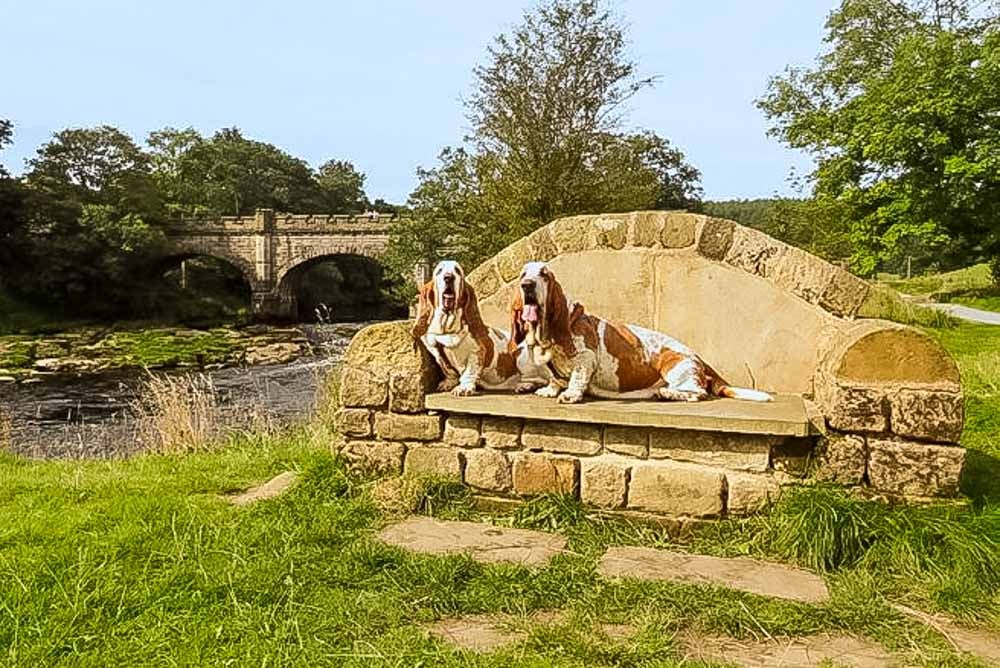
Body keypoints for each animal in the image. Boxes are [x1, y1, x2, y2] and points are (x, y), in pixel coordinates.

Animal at [410, 260, 552, 396]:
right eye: (439, 271)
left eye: (457, 271)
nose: (448, 277)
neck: (447, 328)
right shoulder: (437, 352)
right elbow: (447, 368)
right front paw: (449, 382)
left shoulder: (477, 351)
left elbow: (469, 371)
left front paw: (464, 388)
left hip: (521, 355)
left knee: (540, 379)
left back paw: (525, 385)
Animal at [508, 262, 772, 404]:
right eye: (523, 275)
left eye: (543, 274)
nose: (527, 285)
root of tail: (701, 360)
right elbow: (554, 378)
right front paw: (550, 390)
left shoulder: (585, 358)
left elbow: (577, 377)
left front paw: (570, 394)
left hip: (674, 366)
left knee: (698, 392)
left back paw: (667, 393)